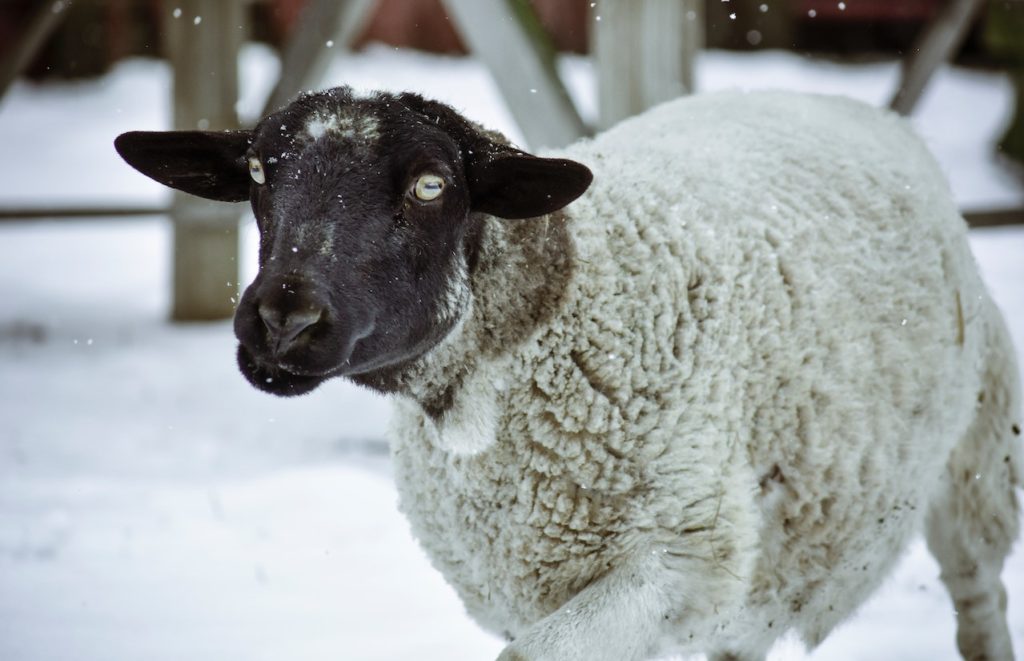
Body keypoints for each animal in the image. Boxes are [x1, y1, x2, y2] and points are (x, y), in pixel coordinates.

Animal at [116, 87, 1019, 661]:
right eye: (259, 175)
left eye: (432, 185)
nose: (281, 320)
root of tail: (860, 107)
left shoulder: (676, 558)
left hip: (977, 456)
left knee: (978, 598)